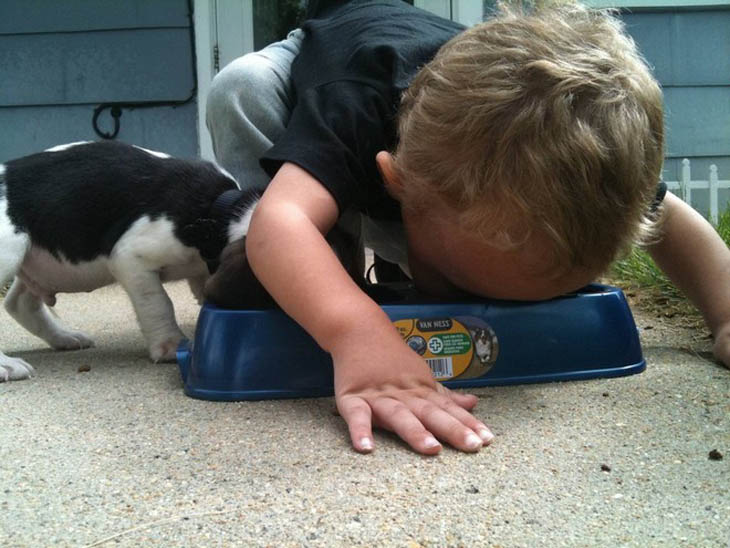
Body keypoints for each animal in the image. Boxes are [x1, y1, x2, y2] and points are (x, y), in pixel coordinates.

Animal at [0, 140, 264, 382]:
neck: (218, 215)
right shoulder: (131, 258)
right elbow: (158, 303)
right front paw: (171, 344)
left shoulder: (201, 273)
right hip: (10, 250)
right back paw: (7, 366)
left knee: (18, 303)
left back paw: (65, 338)